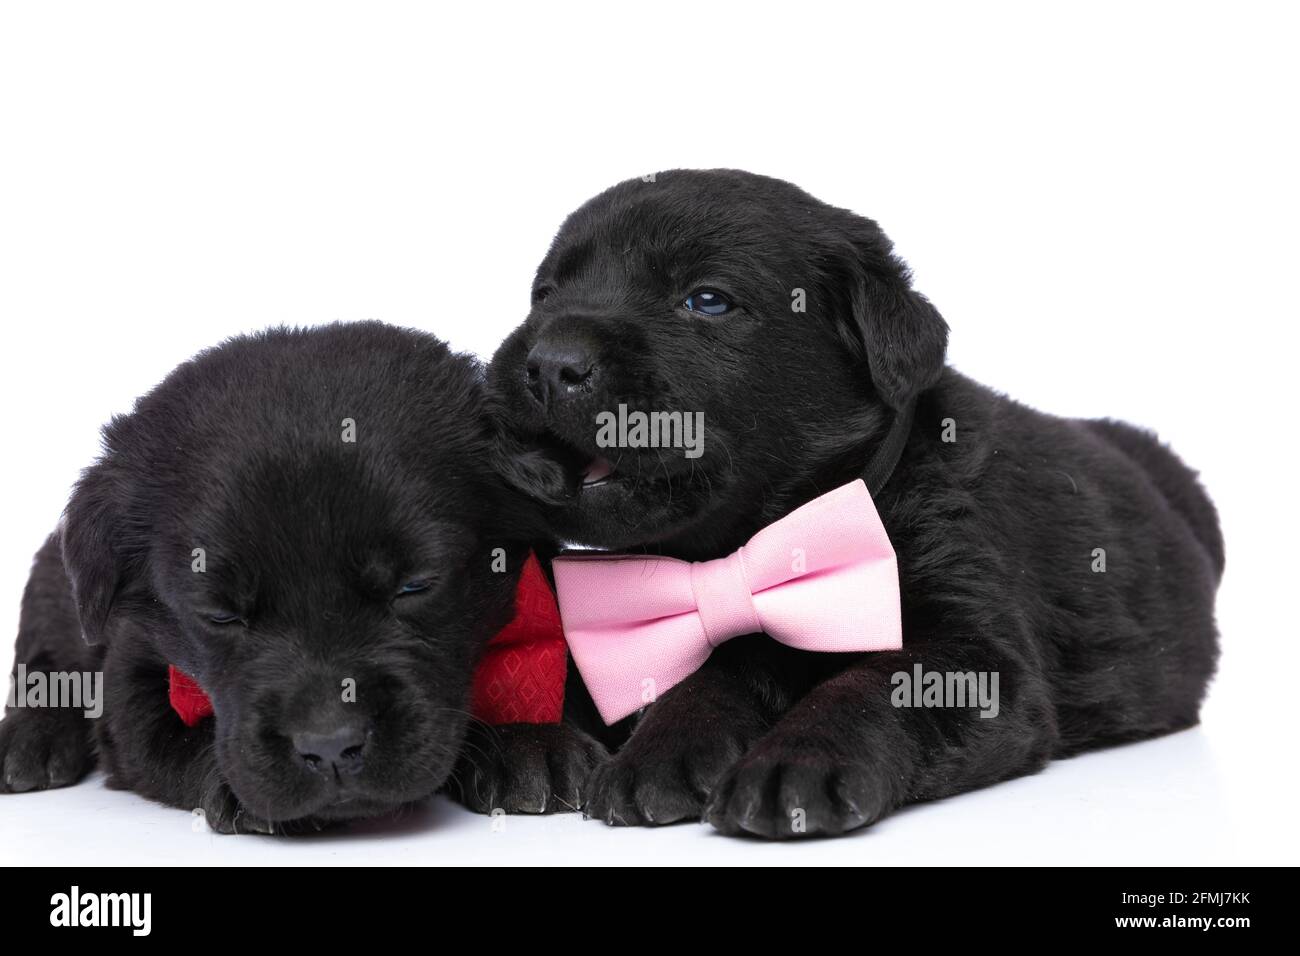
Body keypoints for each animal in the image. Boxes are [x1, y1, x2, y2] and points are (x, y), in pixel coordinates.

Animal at [0, 321, 595, 832]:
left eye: (414, 586)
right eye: (220, 614)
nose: (331, 747)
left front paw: (528, 741)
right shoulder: (132, 671)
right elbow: (159, 736)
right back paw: (28, 741)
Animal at [488, 170, 1227, 837]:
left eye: (707, 300)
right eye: (544, 294)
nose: (548, 361)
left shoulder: (976, 651)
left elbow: (870, 685)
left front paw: (794, 765)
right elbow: (710, 671)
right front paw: (649, 747)